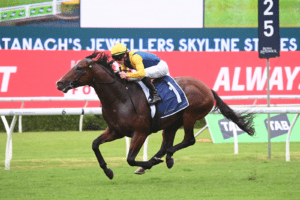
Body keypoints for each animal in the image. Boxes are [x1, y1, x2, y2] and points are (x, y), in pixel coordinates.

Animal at [55, 51, 253, 180]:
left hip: (189, 115)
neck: (120, 97)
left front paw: (146, 164)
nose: (59, 83)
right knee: (166, 144)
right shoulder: (115, 131)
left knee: (188, 140)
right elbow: (95, 144)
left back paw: (161, 159)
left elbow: (130, 159)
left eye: (79, 68)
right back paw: (158, 159)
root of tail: (207, 88)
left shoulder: (141, 132)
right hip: (172, 122)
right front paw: (108, 171)